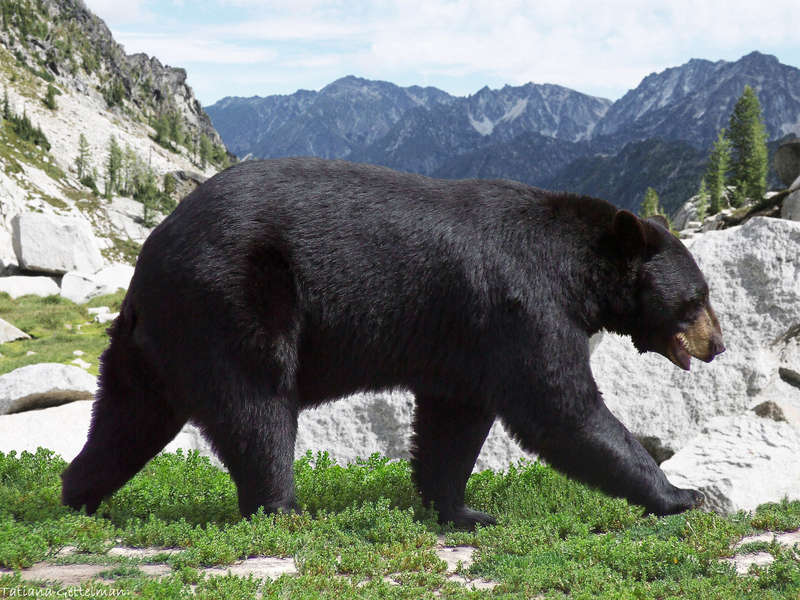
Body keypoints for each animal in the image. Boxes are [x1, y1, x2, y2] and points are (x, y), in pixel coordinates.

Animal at [61, 157, 724, 528]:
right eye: (698, 297)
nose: (718, 345)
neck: (574, 271)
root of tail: (148, 262)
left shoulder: (468, 340)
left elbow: (452, 423)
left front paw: (462, 511)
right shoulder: (523, 309)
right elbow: (561, 410)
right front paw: (681, 495)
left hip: (153, 342)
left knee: (128, 417)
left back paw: (79, 495)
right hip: (230, 304)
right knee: (257, 408)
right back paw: (285, 511)